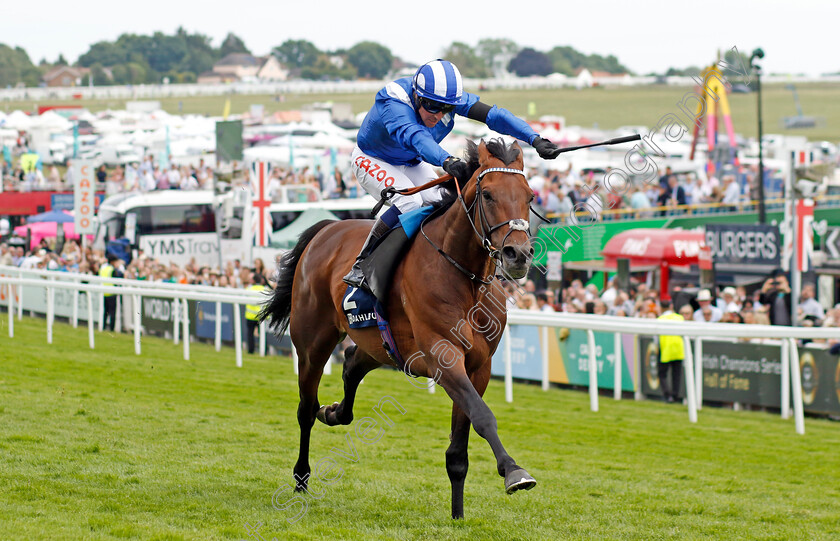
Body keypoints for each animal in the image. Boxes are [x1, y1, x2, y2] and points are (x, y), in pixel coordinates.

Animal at [262, 137, 536, 516]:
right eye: (488, 195)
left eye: (529, 196)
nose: (517, 254)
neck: (463, 276)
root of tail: (328, 228)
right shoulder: (443, 357)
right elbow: (483, 416)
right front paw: (514, 471)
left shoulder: (479, 366)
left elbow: (459, 448)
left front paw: (458, 515)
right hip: (313, 341)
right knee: (305, 408)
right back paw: (301, 478)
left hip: (380, 345)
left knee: (352, 364)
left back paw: (333, 412)